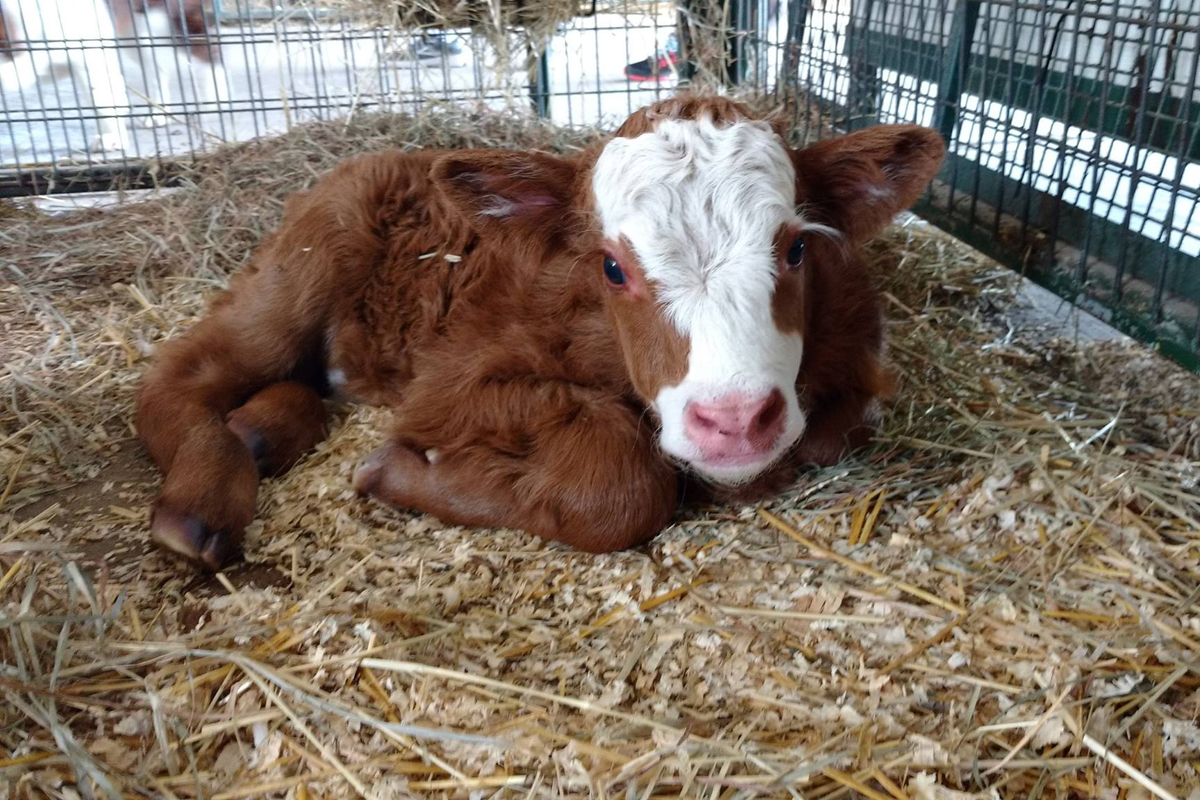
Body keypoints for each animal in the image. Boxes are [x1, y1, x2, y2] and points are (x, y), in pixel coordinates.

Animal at [135, 96, 945, 570]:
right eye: (613, 267)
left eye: (797, 248)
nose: (735, 420)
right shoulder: (451, 381)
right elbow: (623, 480)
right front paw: (398, 471)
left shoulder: (857, 365)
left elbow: (825, 436)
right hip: (300, 270)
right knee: (180, 376)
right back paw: (201, 503)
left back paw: (261, 431)